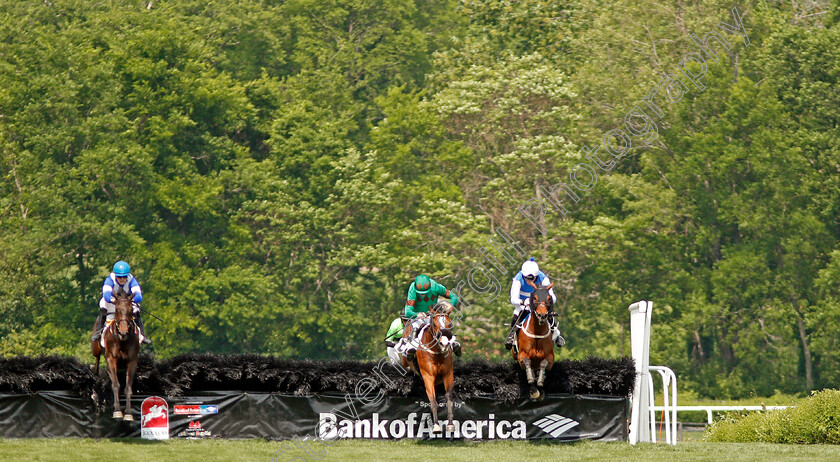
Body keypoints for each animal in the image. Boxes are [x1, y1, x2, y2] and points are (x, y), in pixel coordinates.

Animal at [90, 286, 139, 420]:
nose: (123, 331)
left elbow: (128, 387)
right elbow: (116, 385)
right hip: (95, 347)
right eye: (117, 310)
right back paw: (94, 369)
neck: (122, 340)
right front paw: (117, 411)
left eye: (131, 310)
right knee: (97, 358)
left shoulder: (132, 362)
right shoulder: (111, 360)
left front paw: (128, 413)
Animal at [402, 302, 456, 434]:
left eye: (449, 323)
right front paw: (436, 425)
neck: (436, 353)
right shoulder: (428, 376)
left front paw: (450, 424)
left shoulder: (448, 374)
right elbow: (432, 400)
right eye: (435, 324)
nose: (444, 343)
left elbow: (449, 397)